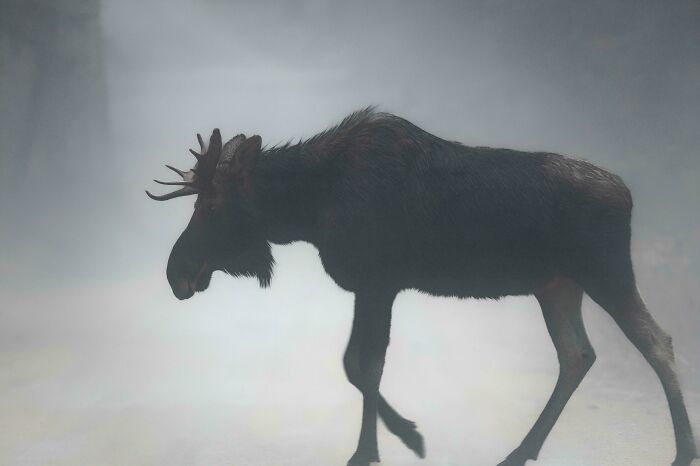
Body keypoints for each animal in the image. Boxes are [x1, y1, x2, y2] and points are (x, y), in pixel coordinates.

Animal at [147, 108, 697, 466]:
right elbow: (356, 365)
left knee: (656, 341)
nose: (177, 272)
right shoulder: (373, 287)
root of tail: (626, 195)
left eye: (211, 206)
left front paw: (380, 447)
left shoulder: (378, 282)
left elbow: (364, 366)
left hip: (605, 272)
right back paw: (520, 451)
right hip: (557, 285)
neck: (308, 206)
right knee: (577, 354)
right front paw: (398, 438)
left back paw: (683, 450)